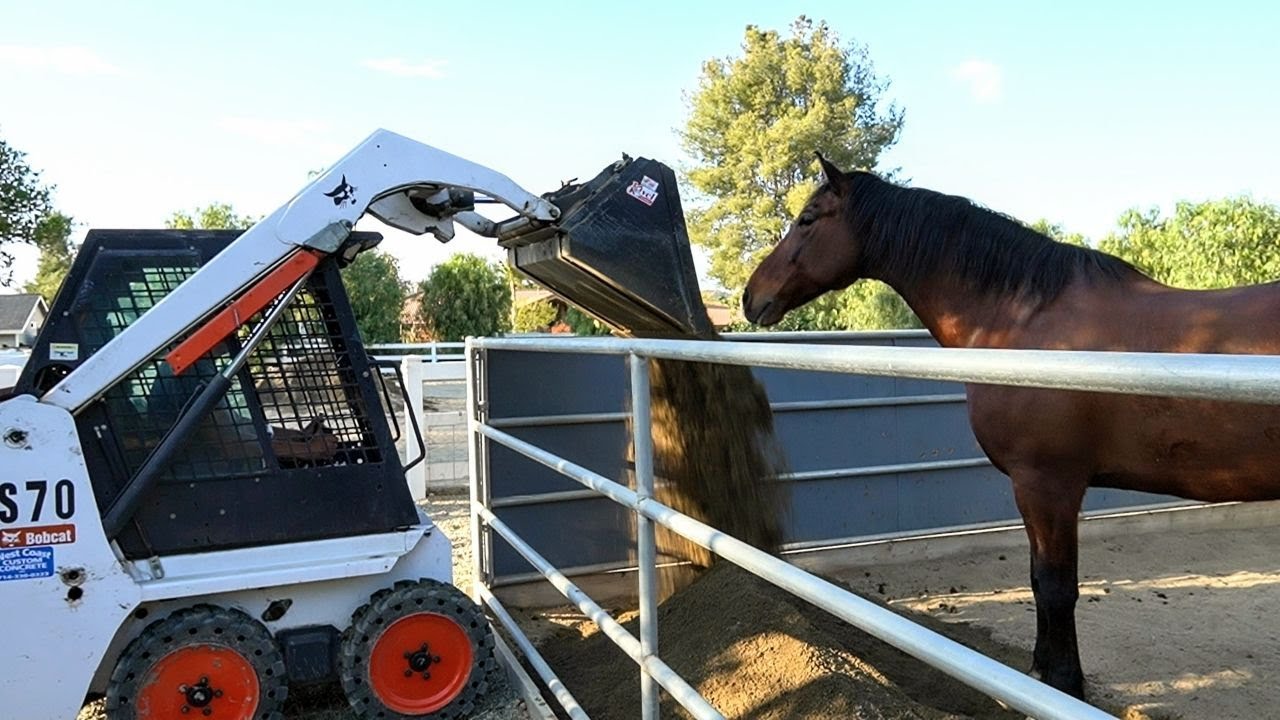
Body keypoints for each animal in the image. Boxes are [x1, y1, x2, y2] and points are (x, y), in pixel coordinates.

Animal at [741, 153, 1280, 700]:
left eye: (807, 219)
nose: (750, 297)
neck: (1023, 321)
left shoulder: (1047, 485)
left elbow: (1056, 586)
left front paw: (1064, 684)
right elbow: (1039, 582)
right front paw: (1040, 673)